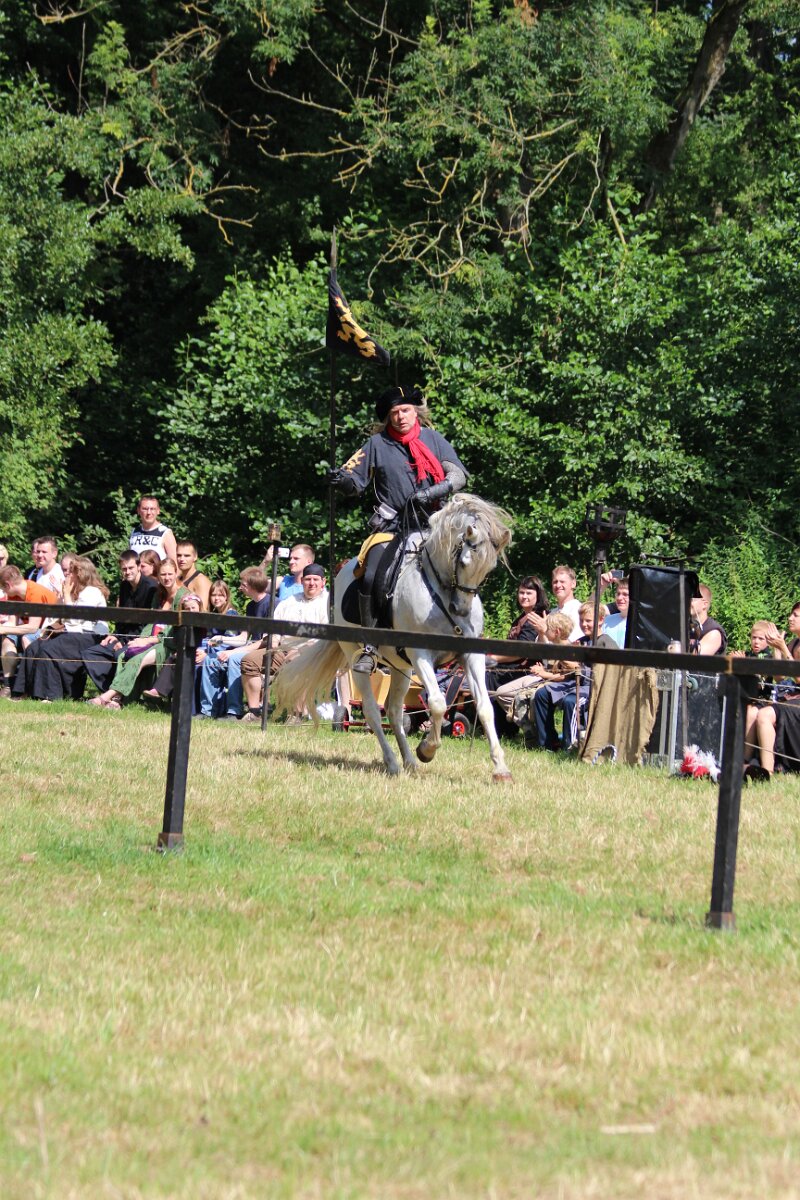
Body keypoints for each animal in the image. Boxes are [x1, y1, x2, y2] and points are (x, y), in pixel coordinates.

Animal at [273, 493, 514, 781]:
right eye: (464, 562)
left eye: (489, 568)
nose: (461, 610)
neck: (440, 590)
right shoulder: (421, 654)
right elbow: (436, 703)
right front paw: (427, 749)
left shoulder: (470, 655)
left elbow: (485, 707)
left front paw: (501, 769)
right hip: (357, 658)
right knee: (372, 712)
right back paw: (393, 762)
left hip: (401, 668)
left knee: (395, 712)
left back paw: (408, 761)